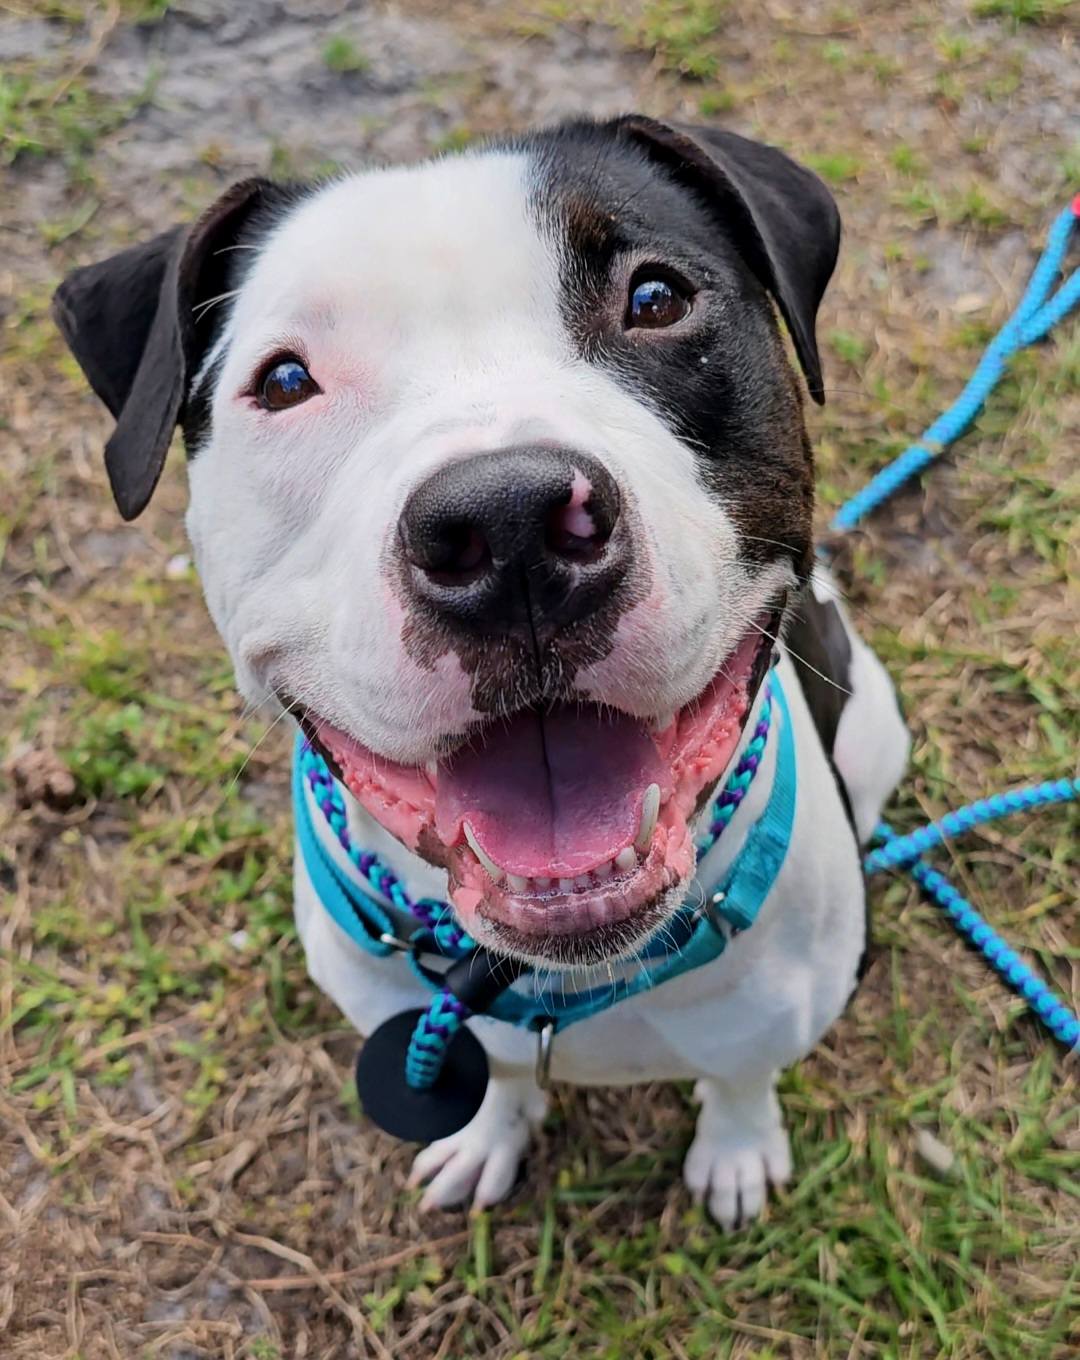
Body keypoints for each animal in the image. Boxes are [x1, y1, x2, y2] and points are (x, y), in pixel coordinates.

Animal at [54, 111, 903, 1229]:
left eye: (656, 299)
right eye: (283, 381)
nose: (508, 525)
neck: (543, 981)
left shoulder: (773, 1016)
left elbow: (740, 1076)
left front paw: (737, 1151)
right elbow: (493, 1077)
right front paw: (486, 1135)